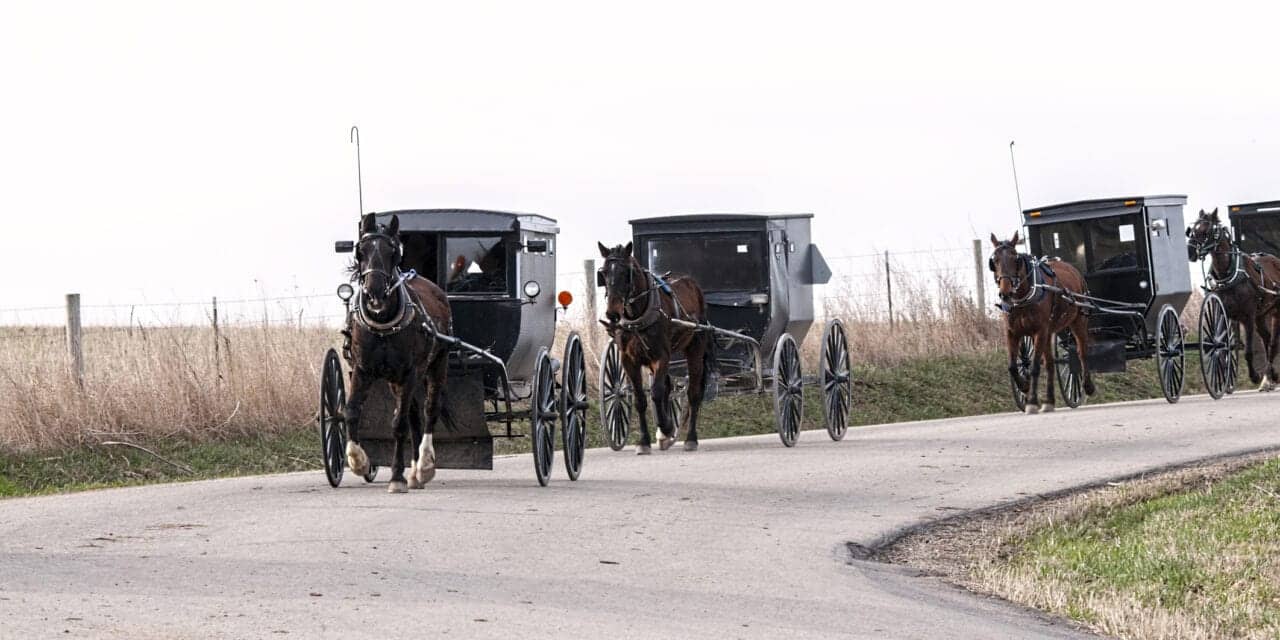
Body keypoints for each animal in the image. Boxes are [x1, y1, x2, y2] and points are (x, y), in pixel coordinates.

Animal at [345, 212, 455, 491]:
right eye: (360, 250)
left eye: (392, 251)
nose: (375, 292)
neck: (383, 323)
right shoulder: (363, 370)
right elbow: (351, 412)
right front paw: (358, 461)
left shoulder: (409, 372)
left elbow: (398, 425)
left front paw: (396, 477)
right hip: (396, 380)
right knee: (414, 415)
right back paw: (415, 472)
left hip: (436, 365)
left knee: (429, 410)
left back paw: (424, 466)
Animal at [596, 240, 716, 455]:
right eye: (604, 273)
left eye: (627, 272)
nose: (612, 313)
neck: (638, 317)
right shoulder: (629, 360)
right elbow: (640, 399)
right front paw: (645, 440)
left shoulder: (661, 356)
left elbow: (657, 392)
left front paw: (666, 427)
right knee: (668, 388)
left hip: (695, 347)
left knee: (693, 393)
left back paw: (690, 439)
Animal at [988, 232, 1090, 412]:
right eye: (995, 260)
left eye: (1015, 258)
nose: (1005, 293)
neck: (1024, 297)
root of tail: (1073, 269)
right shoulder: (1012, 333)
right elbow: (1013, 366)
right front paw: (1024, 387)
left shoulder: (1039, 331)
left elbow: (1035, 367)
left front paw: (1032, 402)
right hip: (1049, 332)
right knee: (1049, 363)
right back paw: (1049, 401)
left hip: (1078, 321)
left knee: (1082, 351)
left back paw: (1088, 386)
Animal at [1177, 209, 1280, 389]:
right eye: (1192, 230)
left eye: (1206, 231)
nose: (1190, 253)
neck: (1229, 275)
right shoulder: (1227, 315)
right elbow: (1228, 347)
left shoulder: (1248, 317)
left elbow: (1248, 350)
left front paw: (1254, 376)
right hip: (1261, 315)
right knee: (1267, 339)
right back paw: (1271, 375)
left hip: (1274, 311)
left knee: (1273, 343)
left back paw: (1269, 375)